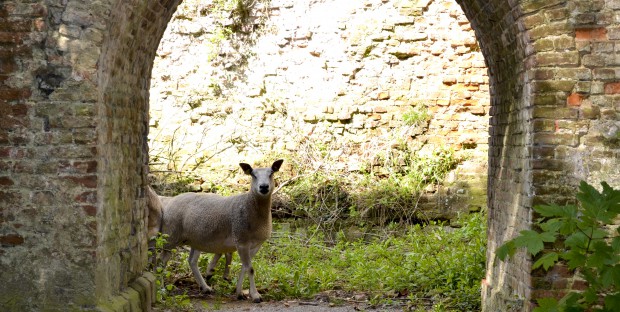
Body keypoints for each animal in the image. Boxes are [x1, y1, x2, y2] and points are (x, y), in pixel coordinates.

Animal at [156, 160, 284, 302]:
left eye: (271, 173)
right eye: (253, 175)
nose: (264, 187)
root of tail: (169, 201)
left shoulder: (256, 245)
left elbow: (244, 268)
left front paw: (240, 293)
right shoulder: (241, 240)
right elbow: (250, 269)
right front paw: (255, 295)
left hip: (194, 239)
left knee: (192, 261)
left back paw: (205, 287)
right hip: (170, 236)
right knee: (161, 263)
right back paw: (162, 290)